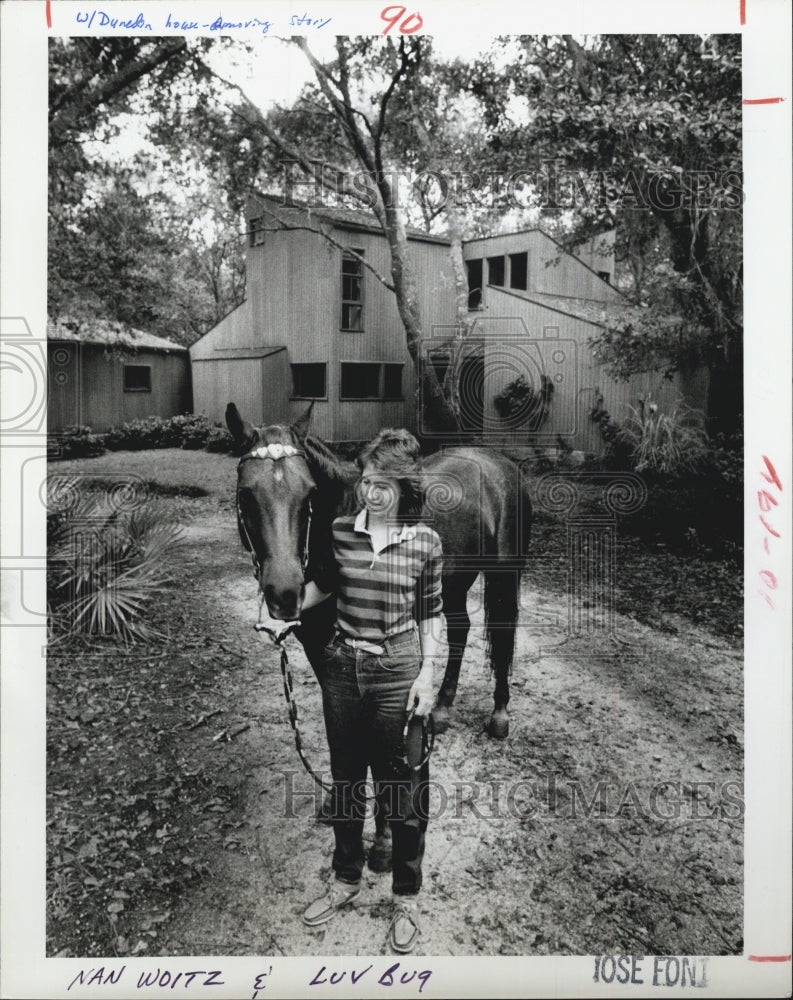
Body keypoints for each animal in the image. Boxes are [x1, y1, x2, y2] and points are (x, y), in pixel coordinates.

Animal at [224, 402, 532, 740]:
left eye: (310, 492)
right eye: (245, 494)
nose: (286, 593)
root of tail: (497, 463)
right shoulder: (318, 648)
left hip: (504, 576)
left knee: (503, 634)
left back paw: (499, 713)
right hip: (450, 585)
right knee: (461, 628)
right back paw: (441, 708)